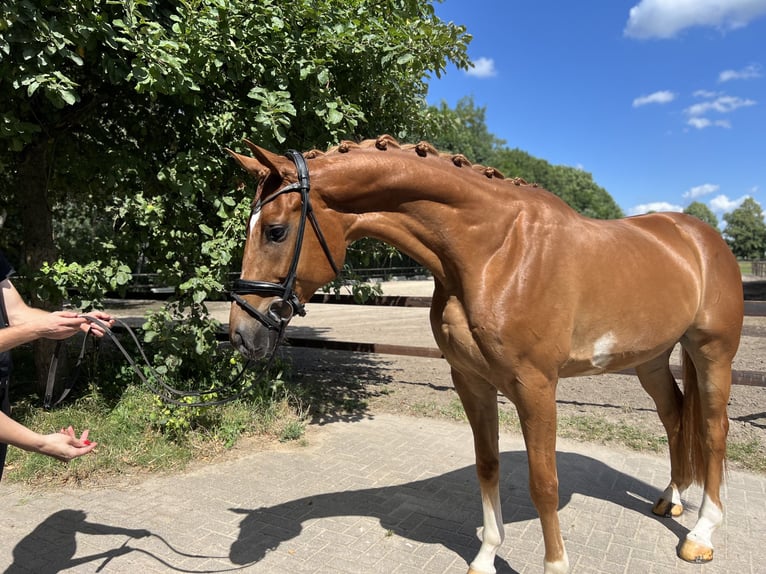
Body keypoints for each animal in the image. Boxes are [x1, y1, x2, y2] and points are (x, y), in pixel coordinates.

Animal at [226, 136, 744, 574]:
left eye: (275, 231)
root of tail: (701, 238)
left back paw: (700, 534)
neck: (494, 253)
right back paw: (670, 500)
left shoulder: (536, 387)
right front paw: (485, 556)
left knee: (713, 431)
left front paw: (555, 565)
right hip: (650, 359)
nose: (242, 334)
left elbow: (544, 484)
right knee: (674, 416)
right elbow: (487, 466)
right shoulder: (471, 380)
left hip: (712, 352)